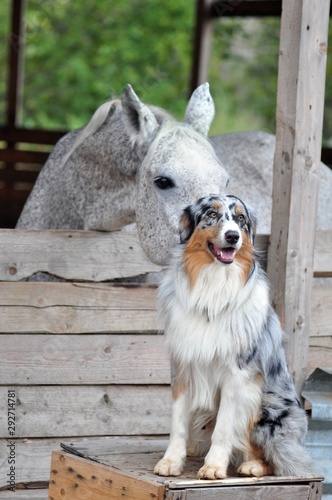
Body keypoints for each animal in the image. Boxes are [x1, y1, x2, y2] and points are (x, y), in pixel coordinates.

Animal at [154, 193, 316, 478]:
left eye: (241, 218)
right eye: (212, 214)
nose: (232, 236)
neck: (214, 290)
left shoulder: (237, 375)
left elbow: (225, 427)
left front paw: (214, 466)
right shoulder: (183, 367)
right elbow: (178, 421)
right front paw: (171, 461)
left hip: (267, 405)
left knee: (279, 458)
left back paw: (252, 465)